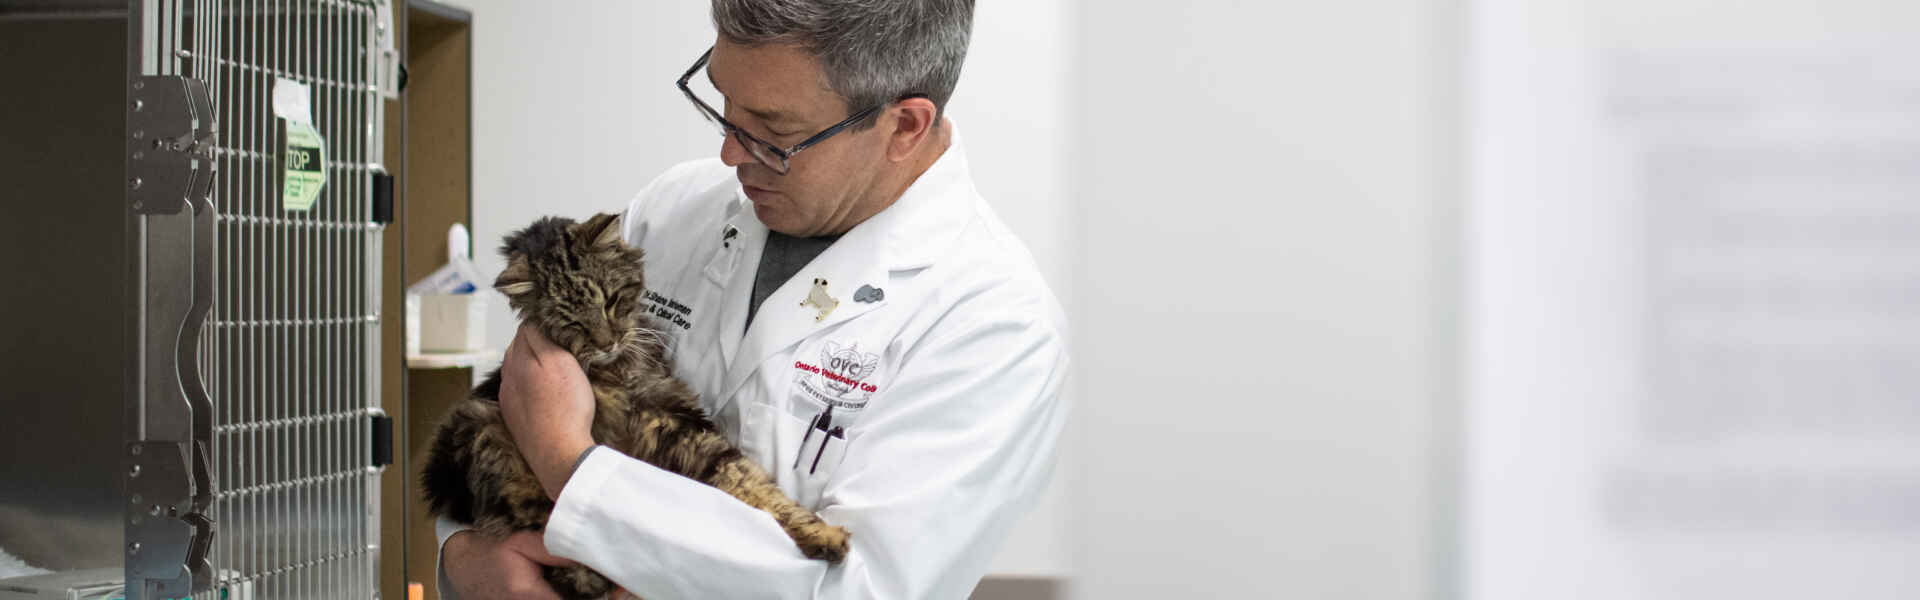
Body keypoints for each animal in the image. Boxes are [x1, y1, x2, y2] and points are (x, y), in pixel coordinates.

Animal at [424, 213, 852, 596]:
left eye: (612, 300)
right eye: (573, 322)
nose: (607, 342)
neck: (619, 374)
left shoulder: (675, 420)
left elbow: (752, 485)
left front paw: (823, 534)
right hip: (477, 432)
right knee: (534, 516)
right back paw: (583, 575)